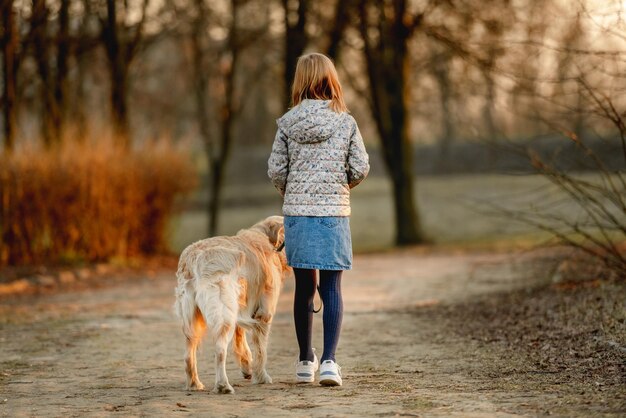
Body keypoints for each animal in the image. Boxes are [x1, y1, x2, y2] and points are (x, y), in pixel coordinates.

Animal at [173, 217, 290, 394]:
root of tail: (195, 257)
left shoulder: (241, 306)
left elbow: (241, 336)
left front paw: (247, 366)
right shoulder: (264, 314)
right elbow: (261, 350)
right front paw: (261, 377)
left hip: (193, 318)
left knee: (188, 353)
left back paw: (195, 384)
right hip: (222, 313)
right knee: (219, 350)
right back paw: (223, 386)